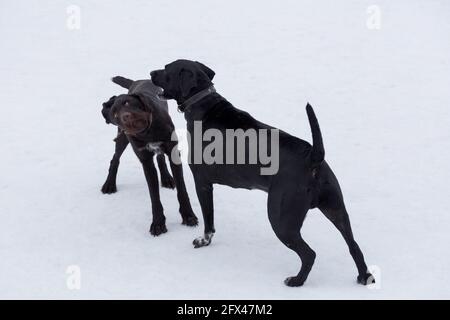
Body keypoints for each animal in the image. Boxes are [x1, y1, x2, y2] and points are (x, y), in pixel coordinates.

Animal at [103, 75, 200, 235]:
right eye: (115, 113)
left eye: (127, 102)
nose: (126, 117)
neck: (148, 132)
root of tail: (137, 81)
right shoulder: (146, 162)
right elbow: (154, 196)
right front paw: (158, 223)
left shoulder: (173, 153)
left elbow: (182, 189)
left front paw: (188, 216)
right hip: (122, 138)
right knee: (115, 159)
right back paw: (109, 184)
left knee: (160, 157)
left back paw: (166, 178)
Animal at [151, 60, 372, 284]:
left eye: (166, 69)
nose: (151, 73)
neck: (203, 101)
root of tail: (313, 157)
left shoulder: (202, 183)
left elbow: (209, 221)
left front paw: (204, 241)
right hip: (336, 209)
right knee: (354, 246)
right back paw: (364, 276)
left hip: (281, 220)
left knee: (309, 254)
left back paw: (296, 281)